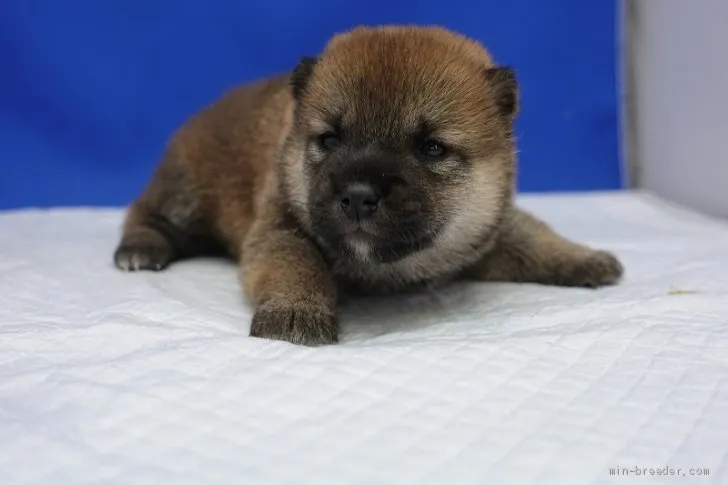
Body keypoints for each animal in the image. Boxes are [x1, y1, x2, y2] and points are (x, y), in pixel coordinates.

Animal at [111, 25, 624, 344]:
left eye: (432, 148)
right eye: (329, 139)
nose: (358, 196)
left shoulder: (486, 232)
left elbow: (533, 236)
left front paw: (583, 258)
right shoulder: (281, 231)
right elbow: (297, 266)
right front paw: (295, 312)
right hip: (183, 189)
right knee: (145, 213)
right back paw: (140, 248)